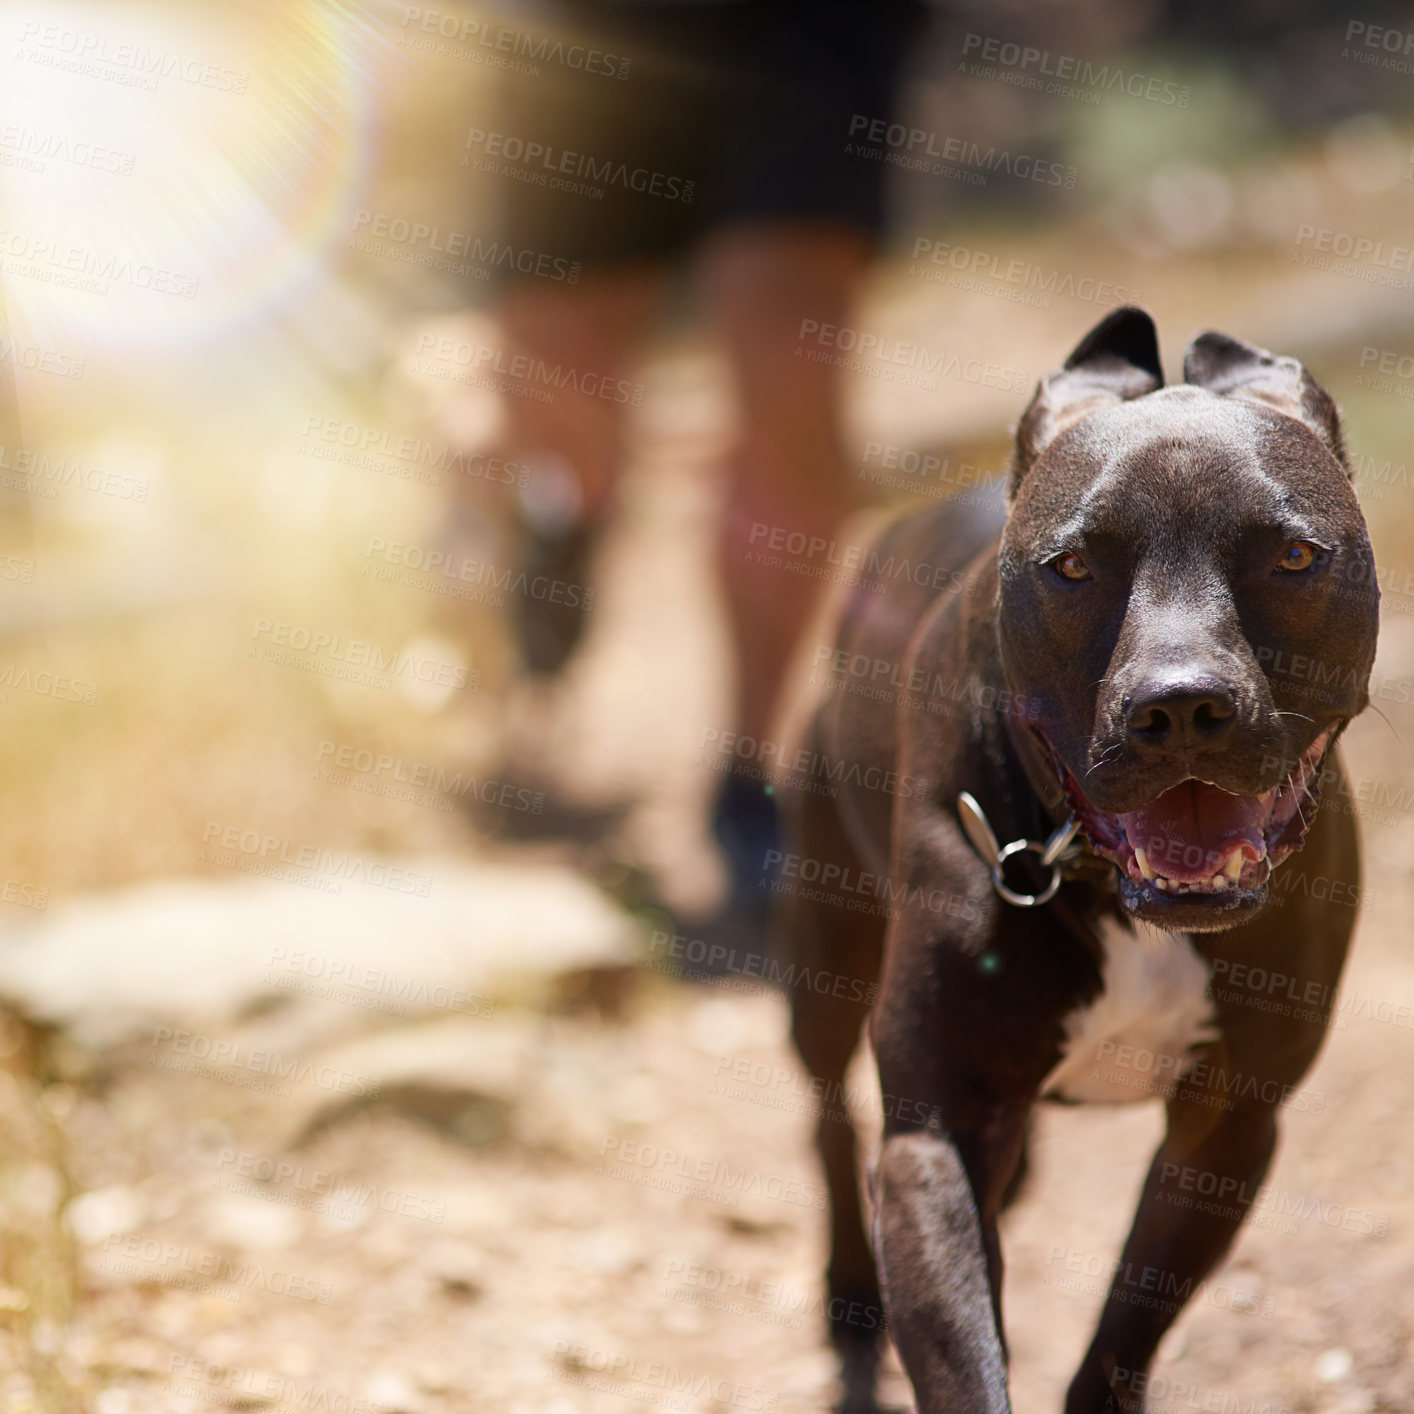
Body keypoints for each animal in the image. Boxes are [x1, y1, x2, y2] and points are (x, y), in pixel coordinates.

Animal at [780, 309, 1374, 1414]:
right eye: (1071, 566)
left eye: (1292, 554)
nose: (1180, 706)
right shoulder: (937, 1131)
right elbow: (966, 1358)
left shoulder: (1228, 1127)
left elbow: (1122, 1335)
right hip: (821, 964)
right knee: (831, 1119)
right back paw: (848, 1288)